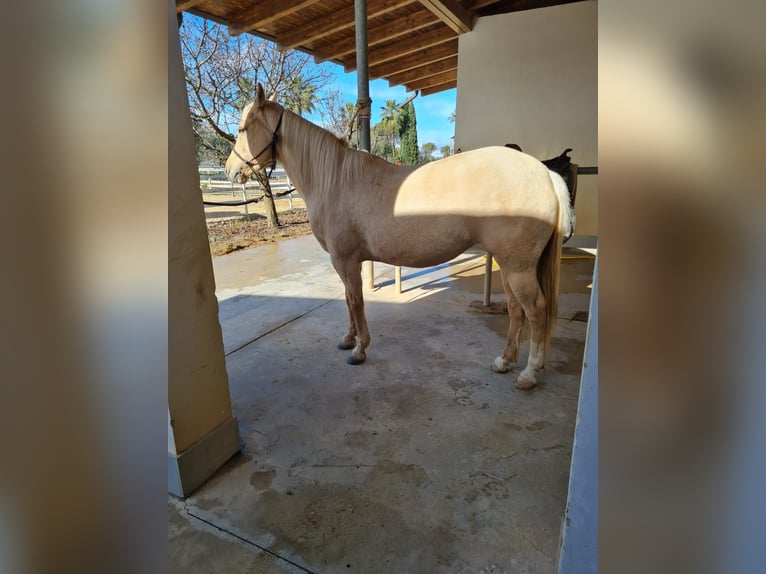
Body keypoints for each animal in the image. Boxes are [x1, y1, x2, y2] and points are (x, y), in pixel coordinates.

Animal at [225, 84, 573, 389]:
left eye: (243, 128)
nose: (230, 171)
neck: (334, 180)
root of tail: (544, 173)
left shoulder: (345, 260)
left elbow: (356, 301)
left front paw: (359, 350)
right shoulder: (344, 262)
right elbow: (349, 301)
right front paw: (348, 339)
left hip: (518, 267)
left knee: (536, 311)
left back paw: (528, 374)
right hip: (510, 264)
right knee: (516, 310)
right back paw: (504, 361)